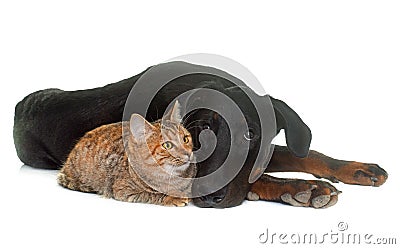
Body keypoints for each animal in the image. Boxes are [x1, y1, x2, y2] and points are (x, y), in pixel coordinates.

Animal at [57, 101, 195, 206]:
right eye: (167, 145)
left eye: (185, 139)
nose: (188, 154)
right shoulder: (124, 191)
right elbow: (152, 194)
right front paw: (172, 196)